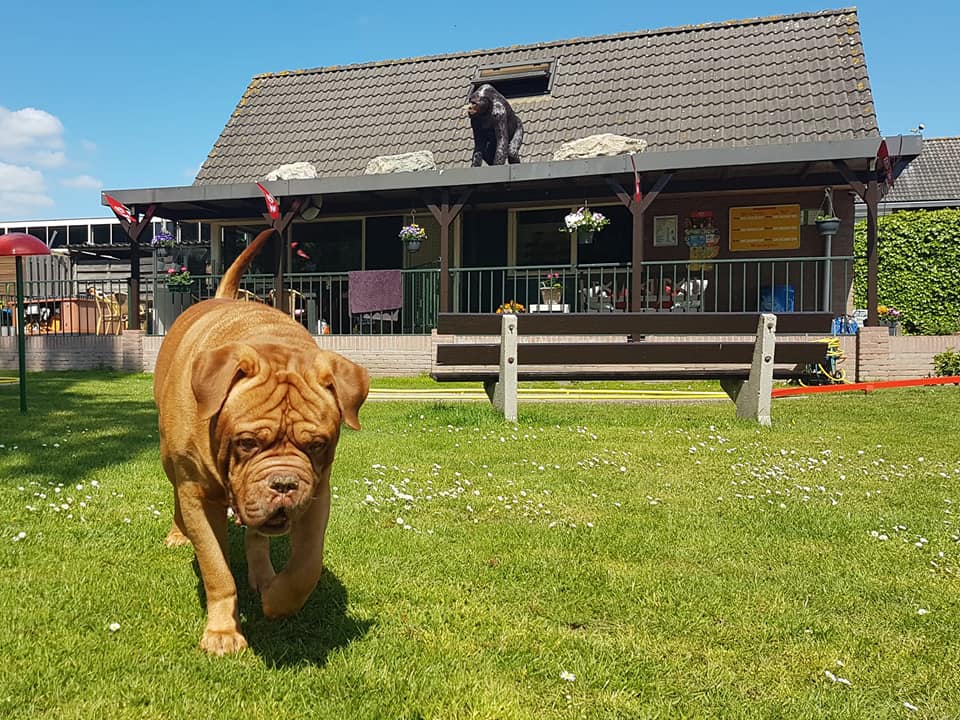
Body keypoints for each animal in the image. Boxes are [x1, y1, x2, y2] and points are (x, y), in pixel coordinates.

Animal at [153, 228, 369, 655]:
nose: (284, 483)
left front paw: (278, 600)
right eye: (248, 442)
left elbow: (307, 563)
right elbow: (216, 567)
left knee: (258, 538)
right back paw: (178, 534)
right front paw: (222, 632)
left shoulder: (318, 492)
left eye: (316, 445)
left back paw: (264, 574)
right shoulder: (196, 492)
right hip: (172, 463)